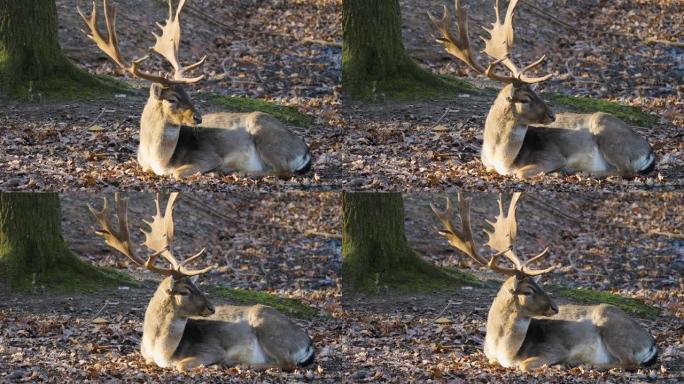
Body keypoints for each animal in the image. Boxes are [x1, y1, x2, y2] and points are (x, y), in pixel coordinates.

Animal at [77, 0, 310, 180]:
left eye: (188, 93)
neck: (159, 160)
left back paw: (240, 172)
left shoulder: (208, 156)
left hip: (265, 134)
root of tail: (305, 151)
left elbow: (177, 173)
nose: (198, 117)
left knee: (284, 170)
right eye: (172, 98)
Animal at [86, 194, 318, 370]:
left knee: (287, 363)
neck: (162, 352)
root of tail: (307, 342)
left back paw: (240, 364)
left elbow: (181, 366)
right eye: (185, 290)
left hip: (268, 327)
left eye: (196, 285)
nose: (211, 307)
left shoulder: (211, 349)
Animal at [428, 0, 656, 180]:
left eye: (536, 92)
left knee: (626, 171)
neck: (502, 160)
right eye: (525, 98)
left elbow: (521, 173)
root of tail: (649, 151)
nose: (552, 114)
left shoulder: (552, 155)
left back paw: (582, 172)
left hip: (607, 132)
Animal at [430, 194, 660, 370]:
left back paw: (584, 364)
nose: (555, 307)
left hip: (613, 328)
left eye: (539, 285)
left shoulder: (553, 348)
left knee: (629, 363)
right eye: (528, 290)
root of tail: (651, 342)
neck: (505, 352)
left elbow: (525, 366)